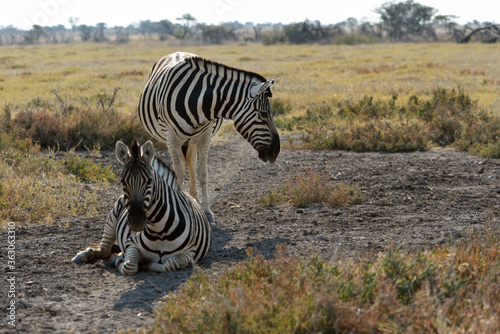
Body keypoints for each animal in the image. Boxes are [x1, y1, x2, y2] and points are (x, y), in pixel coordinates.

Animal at [71, 139, 211, 276]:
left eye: (149, 181)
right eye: (122, 181)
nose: (136, 221)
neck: (160, 231)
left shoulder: (189, 252)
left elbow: (169, 264)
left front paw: (144, 263)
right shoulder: (131, 243)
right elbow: (130, 266)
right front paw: (124, 261)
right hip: (113, 216)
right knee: (104, 249)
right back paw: (83, 255)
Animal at [137, 51, 282, 222]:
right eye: (264, 114)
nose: (276, 151)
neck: (197, 101)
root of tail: (177, 53)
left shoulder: (205, 136)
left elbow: (202, 172)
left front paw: (206, 210)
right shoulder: (172, 138)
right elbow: (178, 174)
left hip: (192, 139)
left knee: (191, 162)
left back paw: (194, 198)